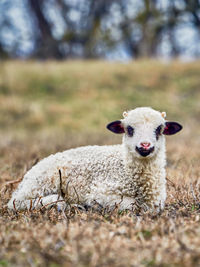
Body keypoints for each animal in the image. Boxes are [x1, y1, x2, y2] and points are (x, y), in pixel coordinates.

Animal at [7, 107, 183, 214]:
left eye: (159, 129)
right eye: (129, 129)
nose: (145, 146)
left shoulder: (157, 201)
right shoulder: (101, 192)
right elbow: (131, 205)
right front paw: (93, 206)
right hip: (41, 183)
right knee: (16, 202)